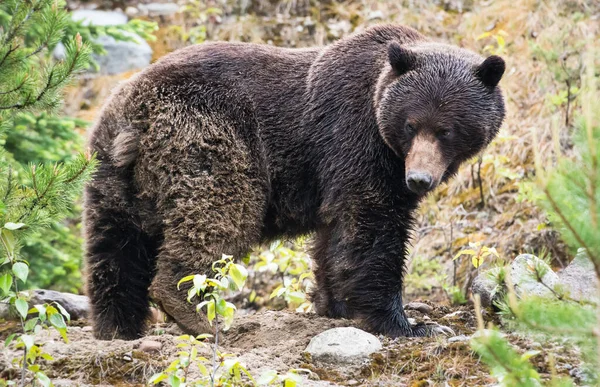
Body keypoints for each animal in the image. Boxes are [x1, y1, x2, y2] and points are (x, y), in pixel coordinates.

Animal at [83, 23, 506, 340]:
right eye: (411, 124)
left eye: (446, 130)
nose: (418, 179)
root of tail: (136, 116)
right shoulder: (356, 141)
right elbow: (372, 228)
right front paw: (408, 323)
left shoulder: (336, 173)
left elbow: (335, 237)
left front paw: (335, 304)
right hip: (209, 137)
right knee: (219, 213)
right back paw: (195, 313)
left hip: (111, 170)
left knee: (115, 246)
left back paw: (118, 326)